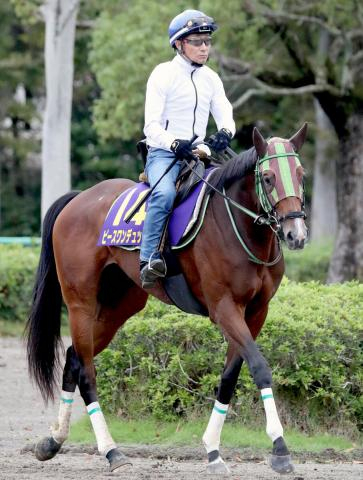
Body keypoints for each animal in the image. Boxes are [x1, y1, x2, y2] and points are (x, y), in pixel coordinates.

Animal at [26, 123, 310, 472]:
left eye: (301, 173)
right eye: (268, 177)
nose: (296, 234)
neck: (240, 227)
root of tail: (78, 198)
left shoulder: (256, 312)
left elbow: (229, 377)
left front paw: (213, 450)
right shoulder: (224, 309)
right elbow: (259, 367)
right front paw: (280, 447)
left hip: (120, 305)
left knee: (74, 360)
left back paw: (53, 441)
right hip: (81, 303)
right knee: (88, 372)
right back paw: (111, 451)